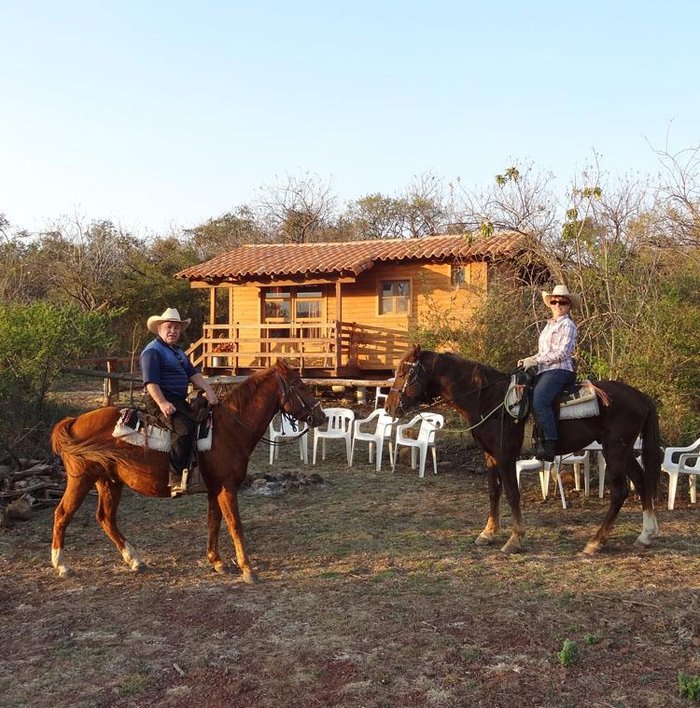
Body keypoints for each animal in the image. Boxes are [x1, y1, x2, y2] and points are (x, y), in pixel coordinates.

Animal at [51, 360, 326, 580]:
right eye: (301, 386)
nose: (321, 416)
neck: (229, 430)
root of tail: (73, 421)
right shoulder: (227, 487)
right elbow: (235, 524)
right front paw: (247, 569)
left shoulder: (214, 489)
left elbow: (214, 522)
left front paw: (217, 561)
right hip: (81, 479)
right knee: (63, 513)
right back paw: (61, 565)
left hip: (110, 482)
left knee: (106, 518)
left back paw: (134, 560)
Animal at [382, 346, 660, 556]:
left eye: (403, 372)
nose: (389, 407)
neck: (489, 399)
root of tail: (639, 396)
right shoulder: (490, 456)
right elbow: (493, 492)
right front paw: (488, 533)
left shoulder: (506, 456)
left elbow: (512, 494)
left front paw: (514, 539)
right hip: (624, 451)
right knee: (642, 482)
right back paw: (645, 536)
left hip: (615, 450)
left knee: (621, 491)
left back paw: (595, 542)